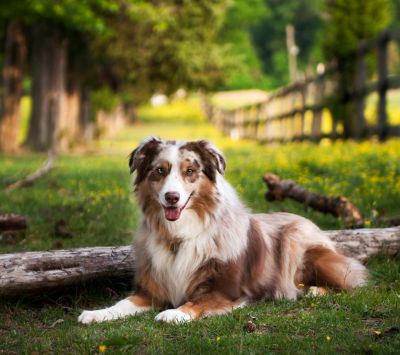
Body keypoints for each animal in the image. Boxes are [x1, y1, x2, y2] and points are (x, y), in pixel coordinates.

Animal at [77, 137, 366, 326]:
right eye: (160, 171)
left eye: (190, 171)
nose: (171, 197)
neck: (179, 236)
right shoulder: (153, 291)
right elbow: (122, 303)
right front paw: (96, 313)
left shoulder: (228, 291)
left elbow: (197, 302)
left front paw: (175, 313)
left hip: (298, 242)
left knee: (352, 282)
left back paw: (314, 290)